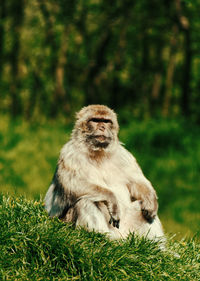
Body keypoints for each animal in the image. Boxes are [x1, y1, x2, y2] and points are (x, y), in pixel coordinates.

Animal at [45, 104, 164, 240]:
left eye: (106, 121)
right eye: (95, 120)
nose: (102, 127)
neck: (98, 153)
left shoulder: (124, 156)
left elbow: (138, 181)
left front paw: (151, 202)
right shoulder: (70, 154)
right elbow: (72, 184)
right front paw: (112, 200)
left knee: (140, 208)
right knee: (86, 201)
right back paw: (102, 238)